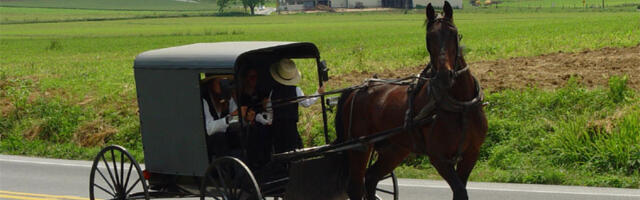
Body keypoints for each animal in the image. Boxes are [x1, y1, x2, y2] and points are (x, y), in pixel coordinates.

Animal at [332, 1, 488, 200]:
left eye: (453, 33)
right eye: (429, 37)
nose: (444, 76)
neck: (460, 106)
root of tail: (355, 90)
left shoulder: (471, 154)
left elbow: (460, 191)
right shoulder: (439, 158)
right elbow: (460, 191)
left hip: (394, 149)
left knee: (371, 178)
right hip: (359, 147)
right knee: (355, 186)